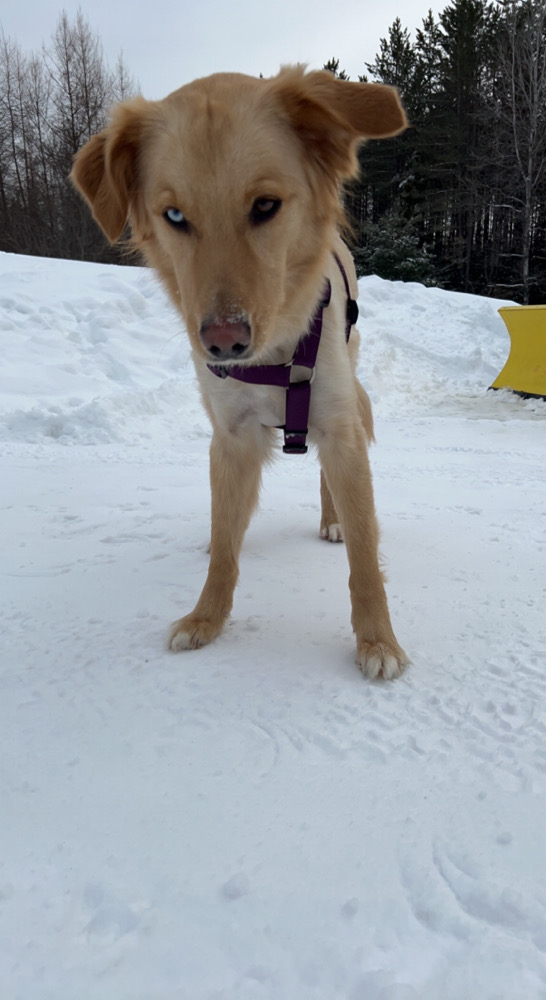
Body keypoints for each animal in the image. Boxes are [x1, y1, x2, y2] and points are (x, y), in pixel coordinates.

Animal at [70, 66, 409, 679]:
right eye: (174, 216)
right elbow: (225, 546)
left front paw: (377, 640)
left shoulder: (340, 427)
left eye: (266, 205)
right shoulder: (230, 439)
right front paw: (207, 617)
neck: (272, 357)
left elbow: (365, 556)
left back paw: (332, 520)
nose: (223, 342)